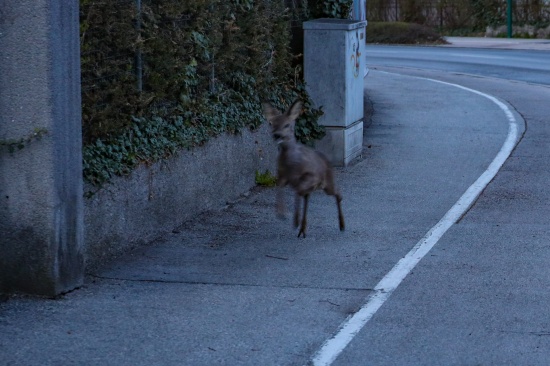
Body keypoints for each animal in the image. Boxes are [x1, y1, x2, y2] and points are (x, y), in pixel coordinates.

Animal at [264, 101, 344, 237]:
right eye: (272, 124)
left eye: (287, 125)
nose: (277, 135)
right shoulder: (281, 176)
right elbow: (280, 188)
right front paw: (281, 213)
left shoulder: (311, 176)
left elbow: (298, 191)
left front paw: (294, 219)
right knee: (307, 197)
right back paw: (302, 229)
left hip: (327, 183)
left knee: (337, 193)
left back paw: (341, 225)